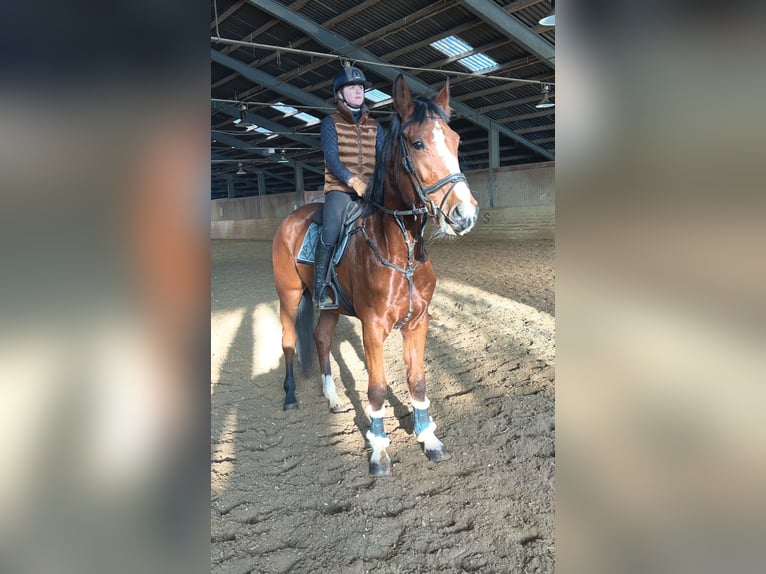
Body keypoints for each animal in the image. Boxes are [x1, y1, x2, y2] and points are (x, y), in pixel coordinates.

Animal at [272, 73, 480, 476]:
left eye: (456, 140)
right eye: (417, 143)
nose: (465, 214)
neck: (401, 251)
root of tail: (290, 219)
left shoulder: (418, 322)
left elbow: (417, 381)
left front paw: (428, 437)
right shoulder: (372, 327)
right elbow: (378, 388)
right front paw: (379, 450)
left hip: (332, 307)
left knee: (321, 338)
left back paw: (332, 398)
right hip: (288, 296)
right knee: (289, 341)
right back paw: (290, 397)